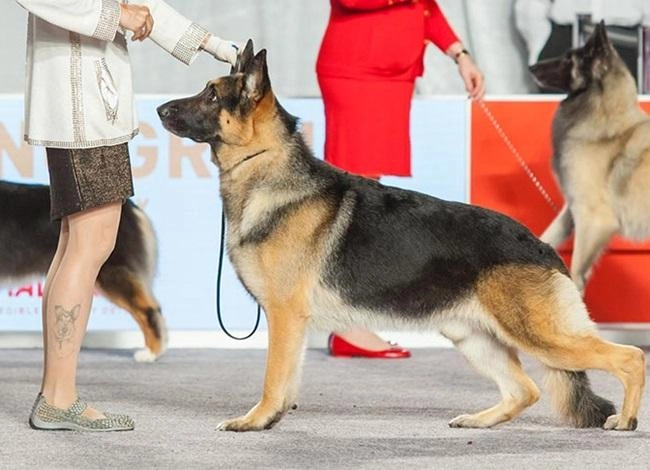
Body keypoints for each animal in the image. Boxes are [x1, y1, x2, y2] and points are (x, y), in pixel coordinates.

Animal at [157, 42, 644, 432]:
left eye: (211, 94)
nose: (160, 110)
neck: (265, 162)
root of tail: (542, 247)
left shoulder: (284, 316)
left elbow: (273, 379)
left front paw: (255, 421)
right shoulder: (291, 323)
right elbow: (287, 380)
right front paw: (271, 420)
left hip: (542, 337)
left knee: (630, 358)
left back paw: (626, 420)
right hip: (475, 339)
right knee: (526, 389)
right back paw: (479, 420)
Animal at [528, 22, 648, 294]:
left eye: (568, 59)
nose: (531, 68)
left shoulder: (593, 220)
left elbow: (575, 273)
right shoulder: (572, 212)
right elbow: (545, 238)